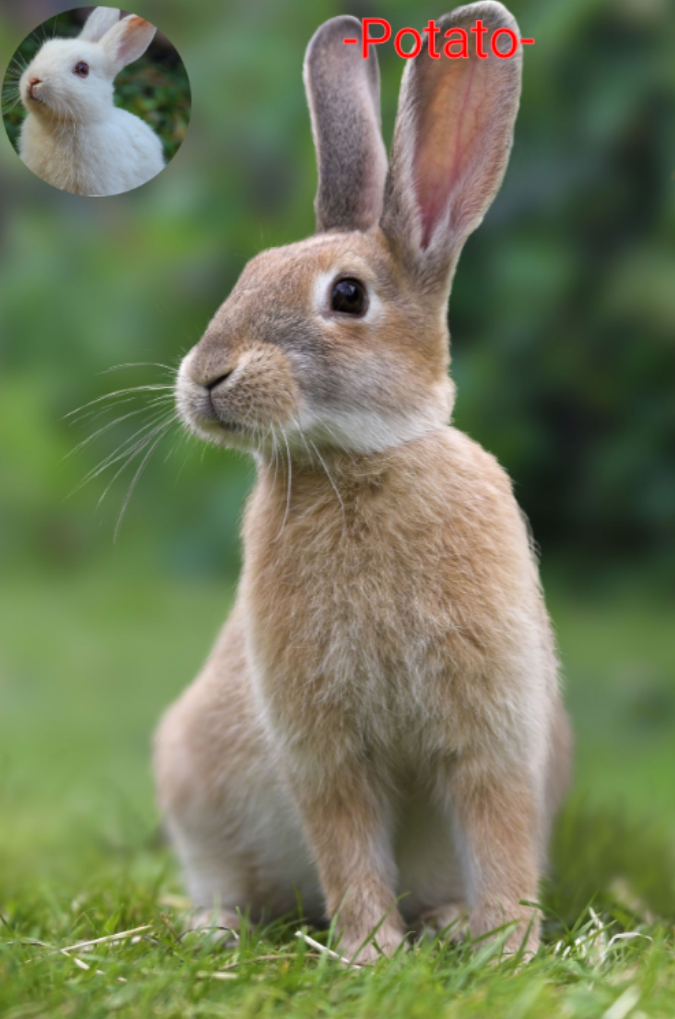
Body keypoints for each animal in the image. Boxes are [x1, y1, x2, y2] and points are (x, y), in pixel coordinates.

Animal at [156, 1, 575, 961]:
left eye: (347, 296)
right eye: (246, 274)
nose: (207, 377)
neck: (360, 461)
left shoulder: (493, 731)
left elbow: (497, 831)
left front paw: (504, 945)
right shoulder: (323, 747)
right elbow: (346, 842)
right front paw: (369, 952)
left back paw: (450, 923)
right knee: (226, 878)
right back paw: (215, 927)